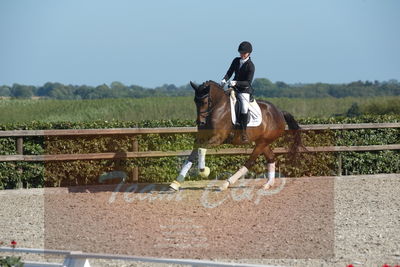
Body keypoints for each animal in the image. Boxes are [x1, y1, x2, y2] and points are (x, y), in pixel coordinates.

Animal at [168, 80, 304, 193]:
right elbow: (192, 155)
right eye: (195, 101)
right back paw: (267, 185)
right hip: (262, 141)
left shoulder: (217, 139)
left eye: (205, 102)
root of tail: (279, 112)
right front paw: (175, 183)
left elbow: (201, 149)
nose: (200, 122)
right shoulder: (200, 139)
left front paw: (203, 171)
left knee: (250, 161)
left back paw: (226, 184)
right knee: (270, 157)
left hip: (262, 142)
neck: (217, 108)